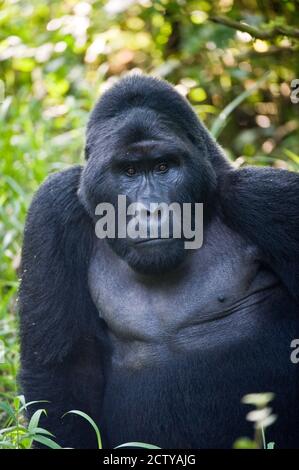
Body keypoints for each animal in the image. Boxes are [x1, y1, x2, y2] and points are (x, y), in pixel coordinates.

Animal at [19, 73, 299, 448]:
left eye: (164, 167)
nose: (151, 210)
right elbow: (61, 373)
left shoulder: (272, 199)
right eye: (129, 171)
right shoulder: (53, 210)